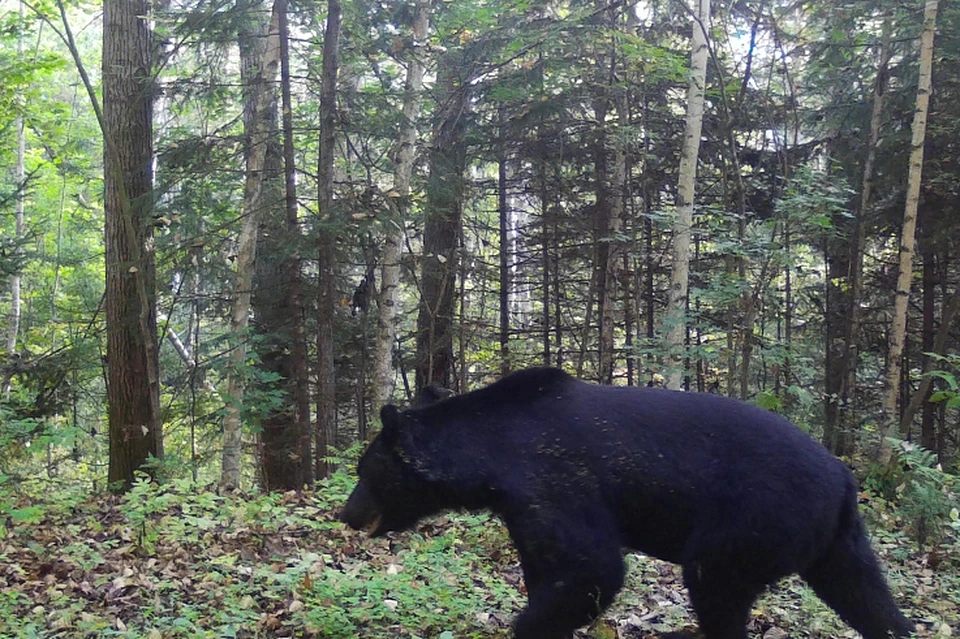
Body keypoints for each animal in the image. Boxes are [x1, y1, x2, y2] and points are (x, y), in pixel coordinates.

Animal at [340, 368, 916, 639]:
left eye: (364, 472)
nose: (346, 514)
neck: (491, 456)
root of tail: (844, 479)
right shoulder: (521, 507)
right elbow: (548, 567)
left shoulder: (555, 479)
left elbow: (592, 567)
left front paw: (531, 625)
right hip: (836, 540)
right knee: (868, 597)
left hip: (754, 520)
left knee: (716, 585)